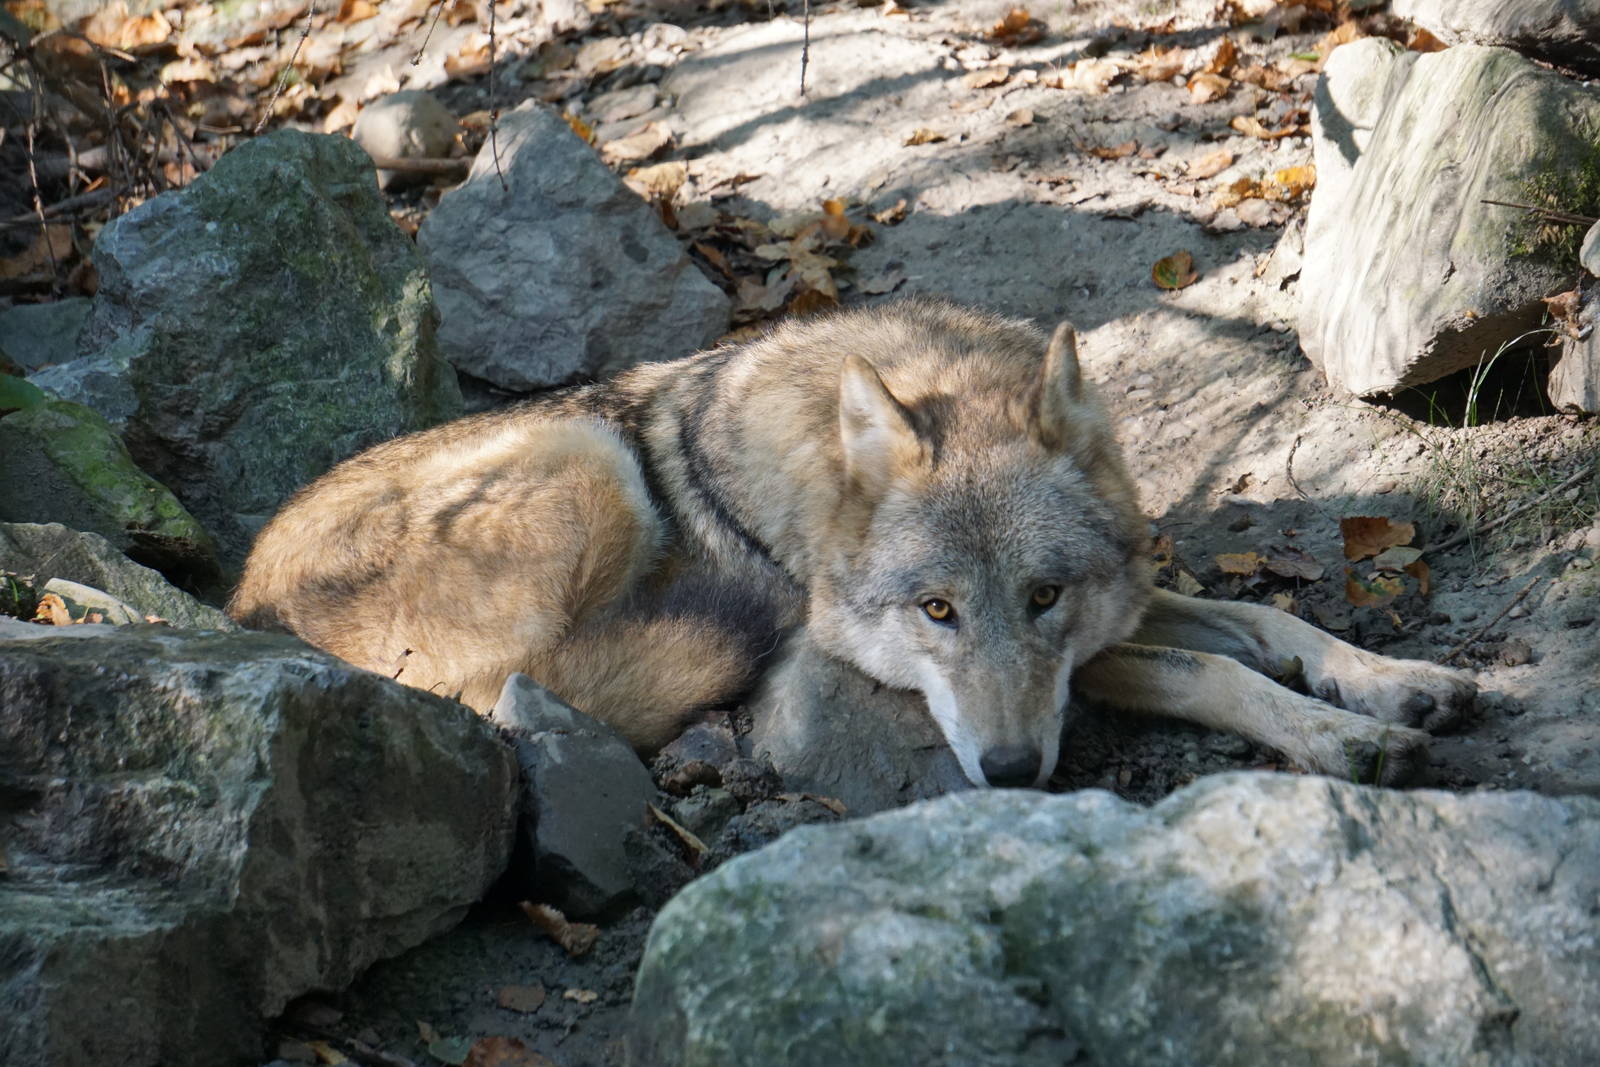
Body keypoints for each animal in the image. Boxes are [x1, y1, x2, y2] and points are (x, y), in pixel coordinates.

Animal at [230, 300, 1475, 788]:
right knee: (538, 684)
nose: (1009, 771)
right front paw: (1344, 740)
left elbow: (1264, 617)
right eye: (936, 610)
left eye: (1042, 596)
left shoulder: (1110, 608)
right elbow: (1215, 668)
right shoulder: (1107, 661)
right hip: (586, 459)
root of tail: (240, 609)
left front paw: (1395, 680)